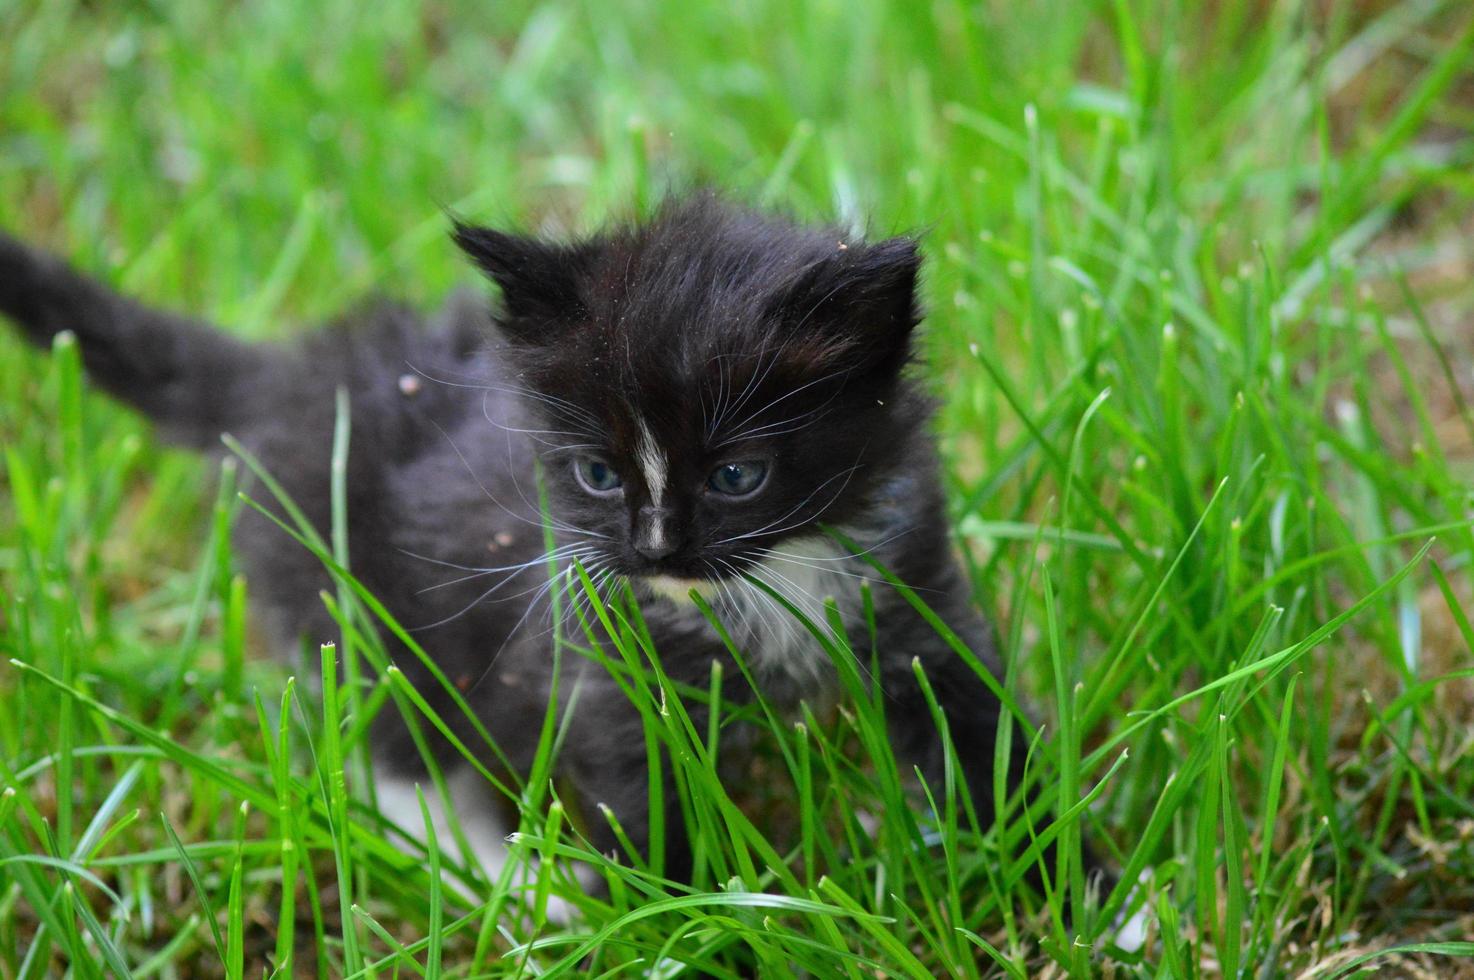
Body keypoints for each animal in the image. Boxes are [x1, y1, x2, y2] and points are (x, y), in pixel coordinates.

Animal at [0, 197, 1061, 901]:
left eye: (737, 477)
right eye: (595, 474)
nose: (654, 552)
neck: (773, 578)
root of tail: (290, 379)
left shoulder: (914, 591)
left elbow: (980, 731)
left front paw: (1067, 884)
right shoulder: (605, 661)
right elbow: (645, 805)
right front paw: (676, 922)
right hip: (358, 599)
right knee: (398, 754)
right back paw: (505, 883)